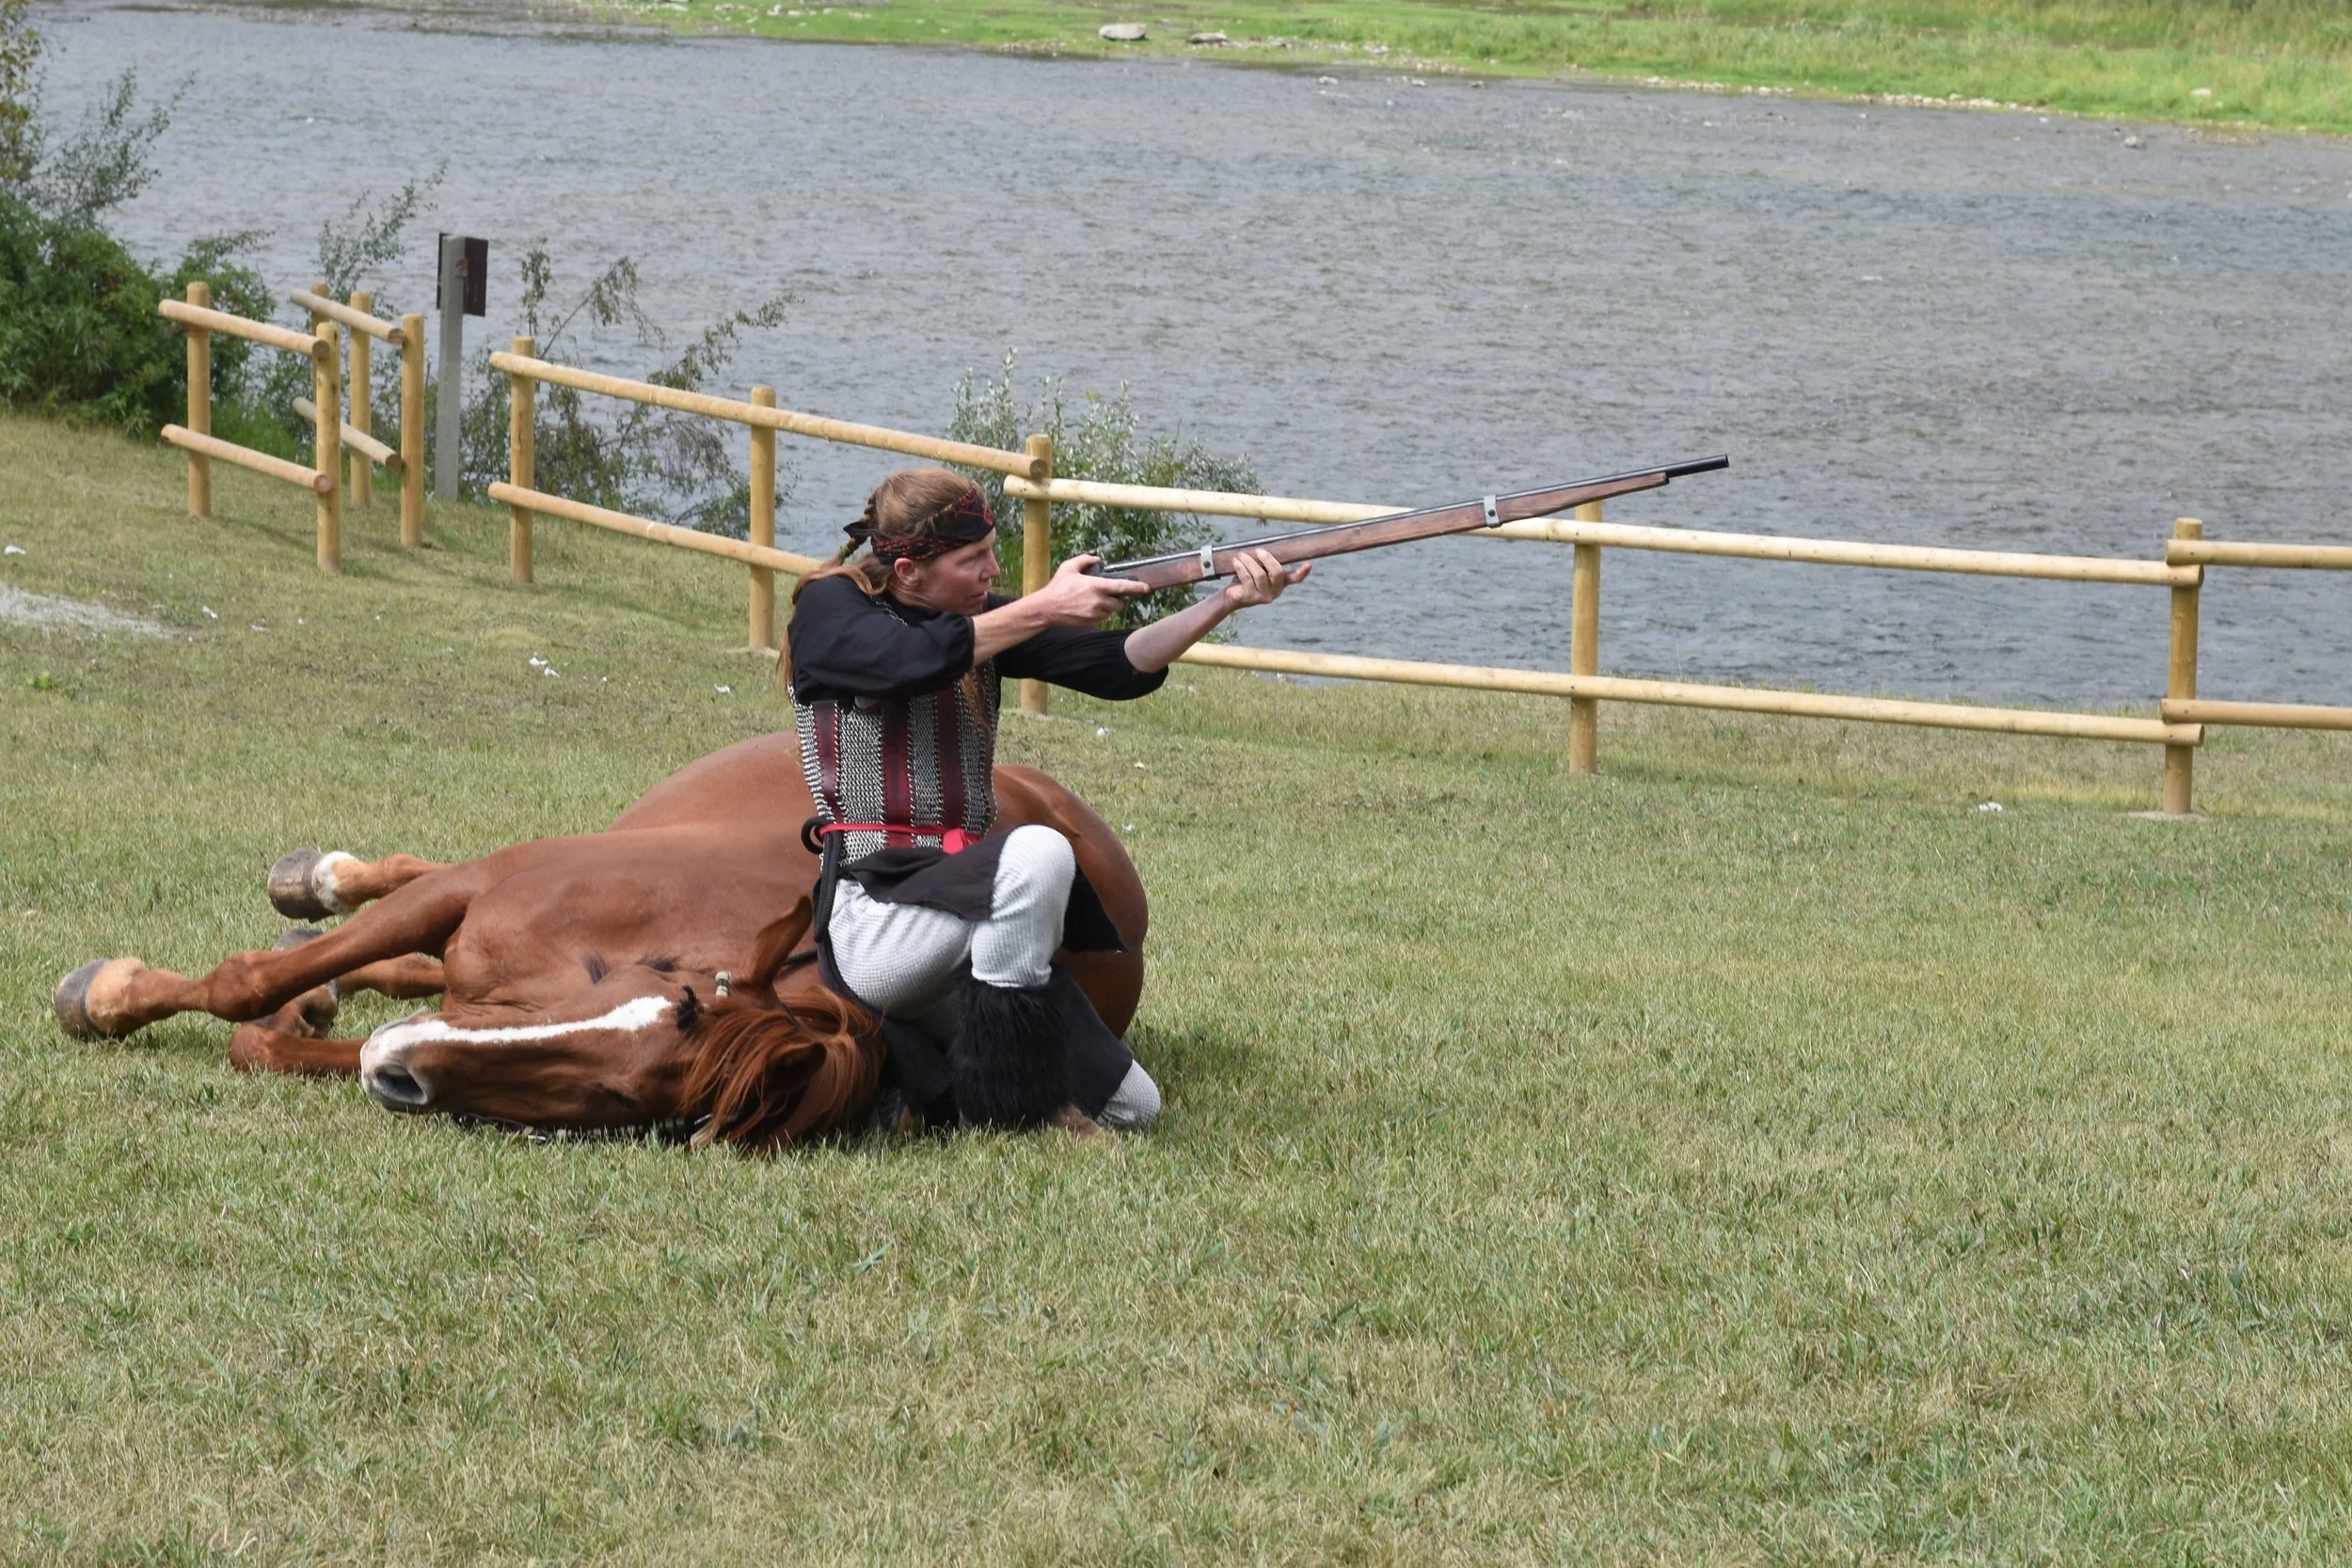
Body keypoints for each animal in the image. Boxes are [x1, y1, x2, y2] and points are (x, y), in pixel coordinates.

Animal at [52, 735, 1148, 1149]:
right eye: (670, 992)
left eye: (625, 1100)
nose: (399, 1071)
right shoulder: (480, 883)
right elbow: (246, 983)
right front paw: (109, 996)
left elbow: (270, 1038)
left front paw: (311, 1022)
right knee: (386, 897)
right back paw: (318, 878)